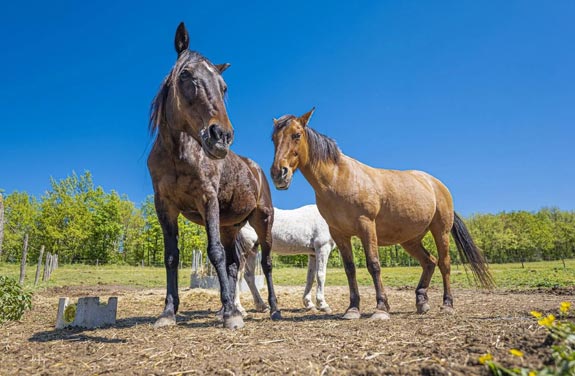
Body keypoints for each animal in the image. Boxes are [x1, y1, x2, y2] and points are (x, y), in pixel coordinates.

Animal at [148, 23, 282, 328]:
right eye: (185, 75)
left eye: (224, 87)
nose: (221, 136)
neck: (178, 155)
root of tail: (256, 170)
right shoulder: (165, 206)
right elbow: (171, 256)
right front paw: (168, 312)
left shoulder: (207, 199)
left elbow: (215, 253)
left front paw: (232, 315)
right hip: (229, 227)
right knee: (233, 266)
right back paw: (227, 308)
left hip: (262, 221)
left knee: (266, 263)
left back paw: (272, 308)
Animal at [272, 108, 496, 320]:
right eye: (273, 138)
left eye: (296, 135)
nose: (278, 173)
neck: (339, 178)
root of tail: (436, 185)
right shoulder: (339, 234)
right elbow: (350, 269)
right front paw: (353, 308)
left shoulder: (366, 226)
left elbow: (374, 265)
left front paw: (381, 308)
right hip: (410, 240)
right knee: (429, 262)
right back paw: (421, 302)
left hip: (440, 231)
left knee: (444, 263)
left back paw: (447, 305)